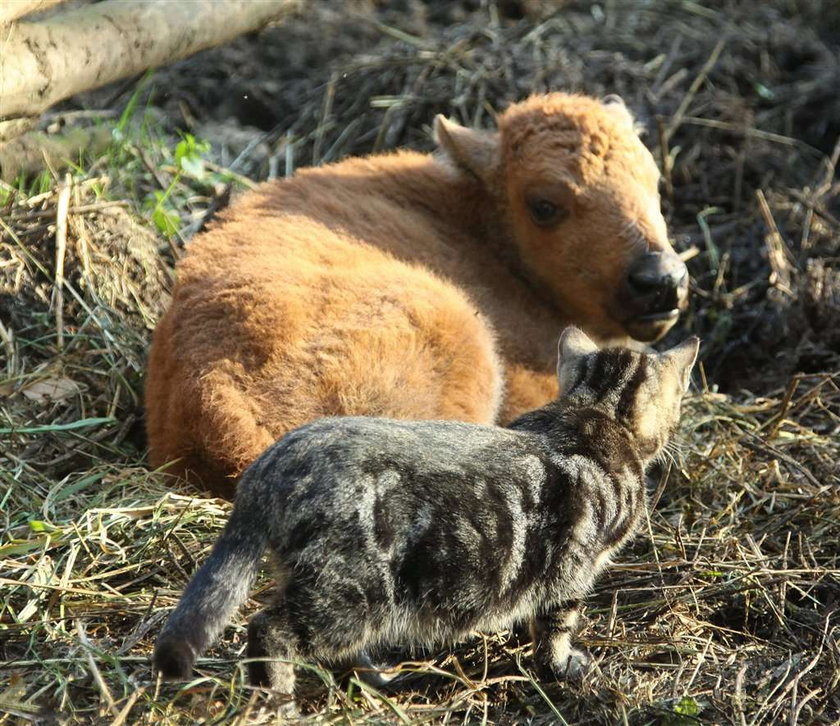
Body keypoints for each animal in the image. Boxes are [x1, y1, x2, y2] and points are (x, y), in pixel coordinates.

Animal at [154, 328, 700, 700]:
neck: (595, 412)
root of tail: (277, 459)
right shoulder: (574, 568)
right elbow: (556, 630)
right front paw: (564, 667)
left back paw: (374, 676)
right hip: (348, 596)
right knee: (269, 629)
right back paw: (278, 697)